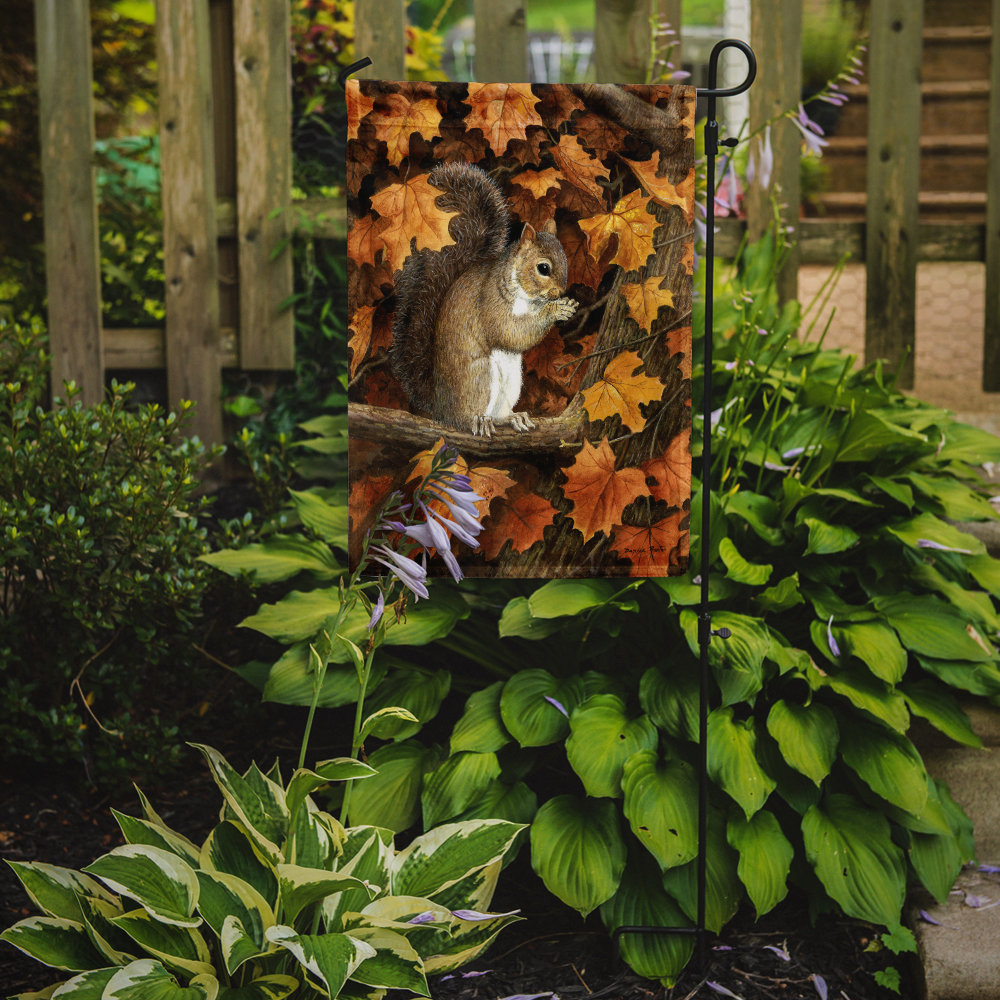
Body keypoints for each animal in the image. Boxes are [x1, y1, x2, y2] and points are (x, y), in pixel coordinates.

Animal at [390, 161, 578, 437]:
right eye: (543, 268)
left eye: (566, 260)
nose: (559, 293)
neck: (527, 298)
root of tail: (440, 407)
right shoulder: (490, 302)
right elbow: (509, 331)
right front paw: (555, 311)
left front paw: (566, 306)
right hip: (478, 377)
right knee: (464, 417)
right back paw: (476, 421)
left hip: (512, 381)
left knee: (498, 413)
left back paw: (512, 418)